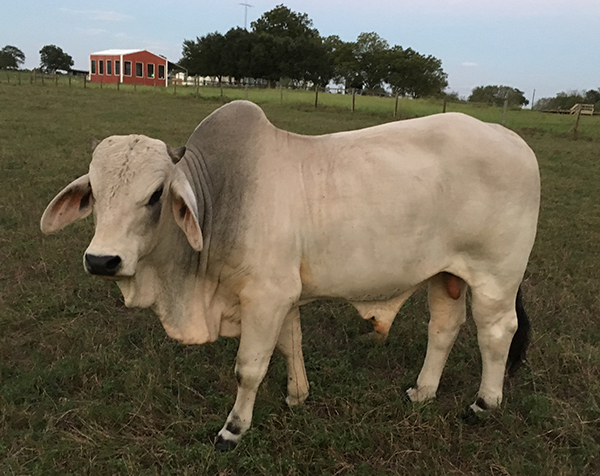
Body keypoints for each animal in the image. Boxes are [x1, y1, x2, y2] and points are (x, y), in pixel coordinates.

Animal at [41, 99, 540, 450]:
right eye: (95, 193)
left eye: (155, 195)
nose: (102, 260)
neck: (220, 197)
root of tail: (510, 137)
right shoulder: (283, 295)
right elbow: (290, 344)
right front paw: (297, 396)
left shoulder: (266, 295)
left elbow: (249, 368)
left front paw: (233, 430)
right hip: (445, 274)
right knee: (444, 327)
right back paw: (422, 391)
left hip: (495, 277)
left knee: (497, 332)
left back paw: (483, 404)